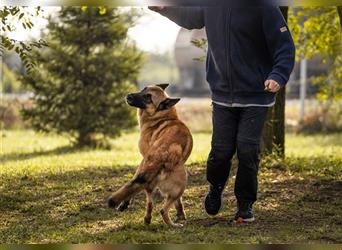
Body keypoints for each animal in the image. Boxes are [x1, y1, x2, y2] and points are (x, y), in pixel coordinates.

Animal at [107, 83, 192, 227]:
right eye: (143, 89)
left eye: (148, 97)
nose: (129, 95)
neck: (162, 116)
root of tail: (162, 155)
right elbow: (178, 202)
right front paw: (180, 213)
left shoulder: (142, 159)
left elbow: (133, 180)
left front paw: (125, 203)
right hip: (169, 186)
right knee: (152, 202)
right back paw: (150, 219)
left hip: (177, 182)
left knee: (160, 208)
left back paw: (170, 225)